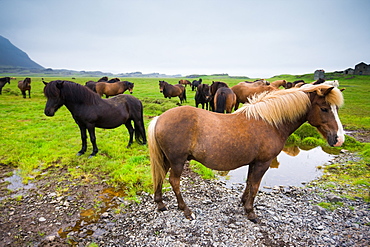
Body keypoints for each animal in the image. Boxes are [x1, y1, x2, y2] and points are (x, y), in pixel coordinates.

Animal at [149, 84, 346, 222]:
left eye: (336, 109)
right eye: (324, 108)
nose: (338, 139)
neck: (270, 122)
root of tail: (160, 118)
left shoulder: (254, 162)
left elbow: (249, 183)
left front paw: (244, 202)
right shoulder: (263, 163)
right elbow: (255, 186)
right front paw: (251, 213)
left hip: (167, 159)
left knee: (160, 176)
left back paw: (160, 204)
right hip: (177, 161)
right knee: (174, 181)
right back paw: (186, 210)